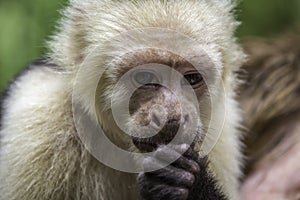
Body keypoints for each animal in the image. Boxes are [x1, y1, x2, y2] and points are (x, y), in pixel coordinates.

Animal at [0, 0, 245, 200]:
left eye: (192, 78)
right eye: (144, 77)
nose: (172, 118)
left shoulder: (223, 131)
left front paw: (188, 185)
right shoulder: (39, 114)